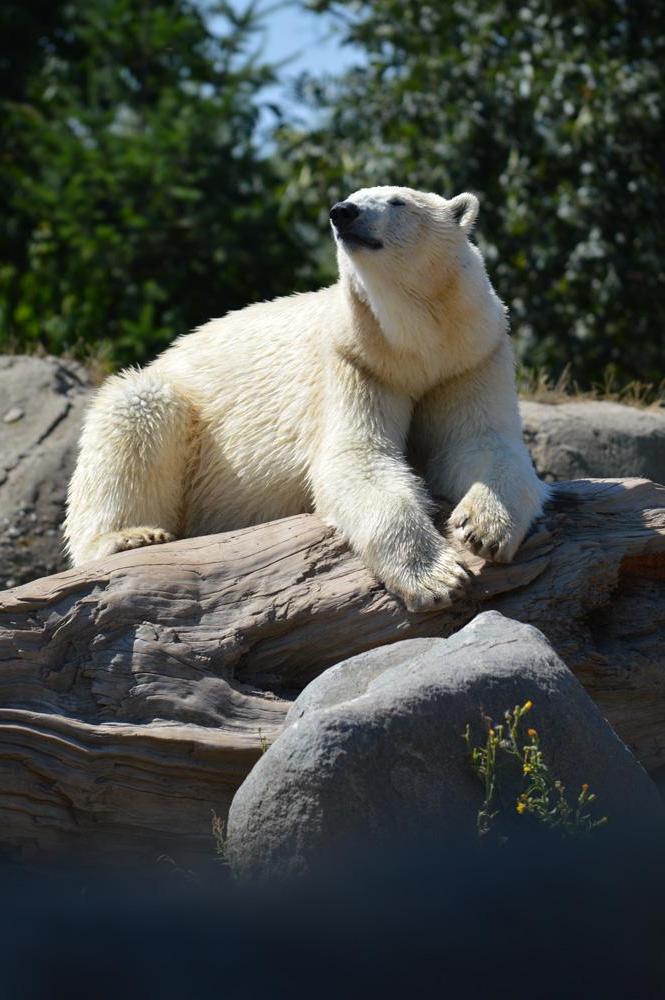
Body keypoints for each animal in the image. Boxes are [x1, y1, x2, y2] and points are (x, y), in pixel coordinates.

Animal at [64, 186, 545, 612]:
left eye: (398, 201)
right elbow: (357, 458)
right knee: (136, 411)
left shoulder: (469, 358)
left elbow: (479, 443)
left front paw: (484, 529)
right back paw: (131, 536)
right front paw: (436, 578)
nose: (343, 212)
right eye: (352, 195)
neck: (414, 344)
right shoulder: (355, 361)